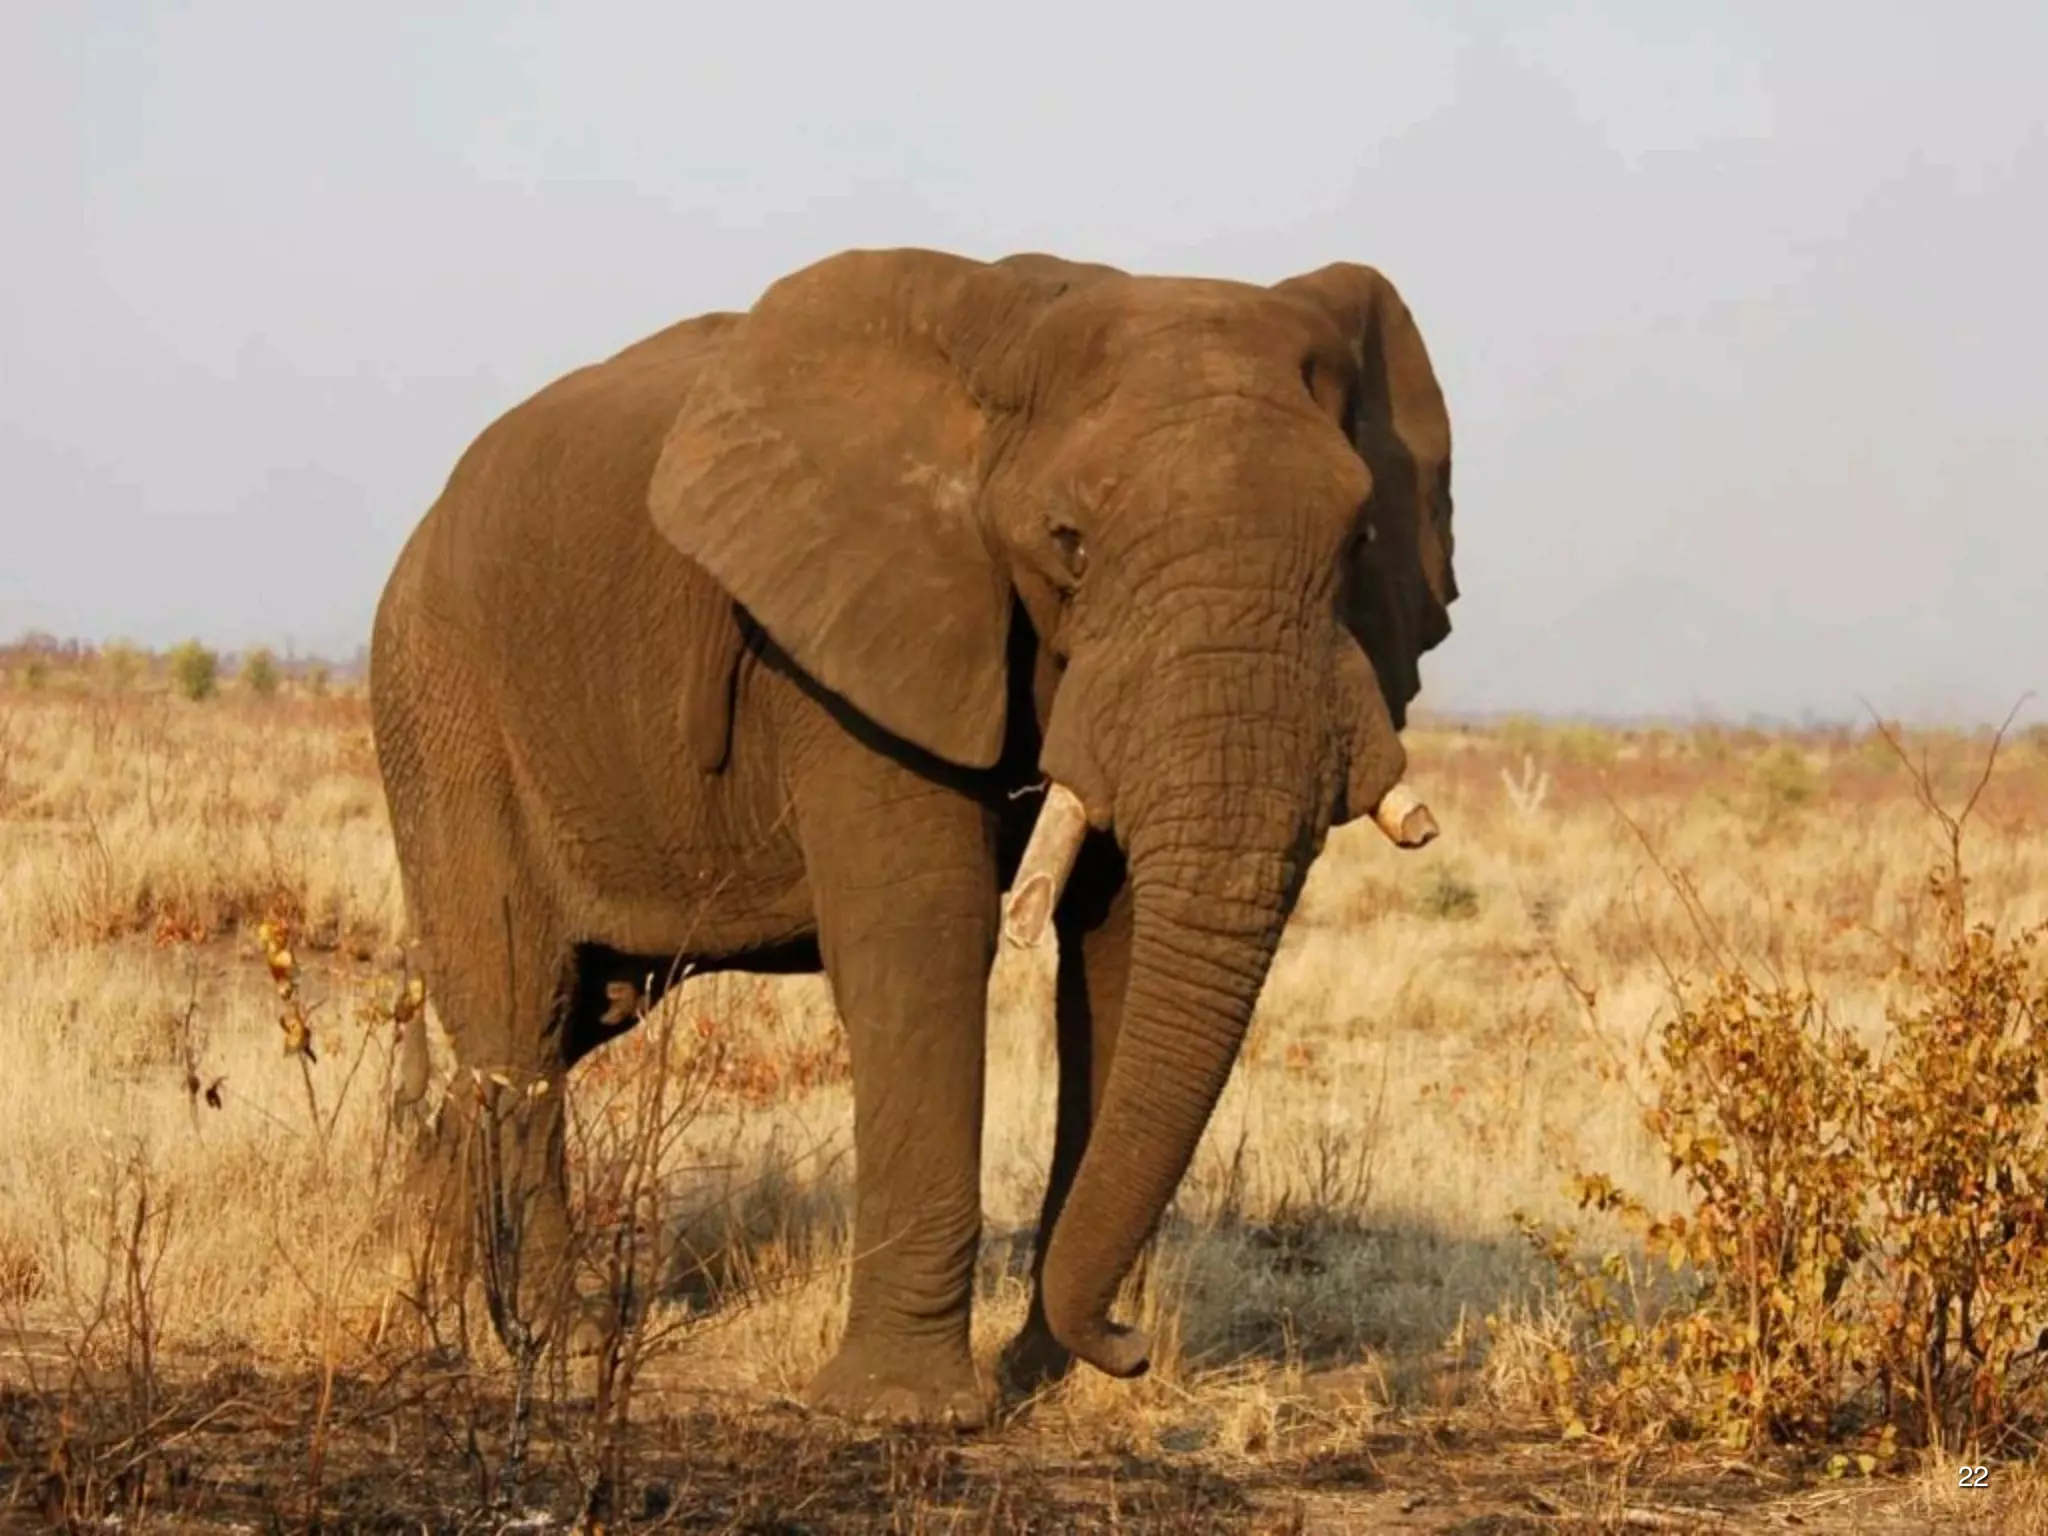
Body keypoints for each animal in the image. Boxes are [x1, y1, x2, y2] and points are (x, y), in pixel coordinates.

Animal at [368, 245, 1457, 1428]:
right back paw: (550, 1346)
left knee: (577, 1010)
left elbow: (1117, 958)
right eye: (1069, 543)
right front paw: (902, 1412)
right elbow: (922, 935)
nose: (1124, 1346)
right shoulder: (852, 634)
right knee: (520, 1005)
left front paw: (1038, 1381)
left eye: (1358, 541)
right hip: (439, 694)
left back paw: (436, 1294)